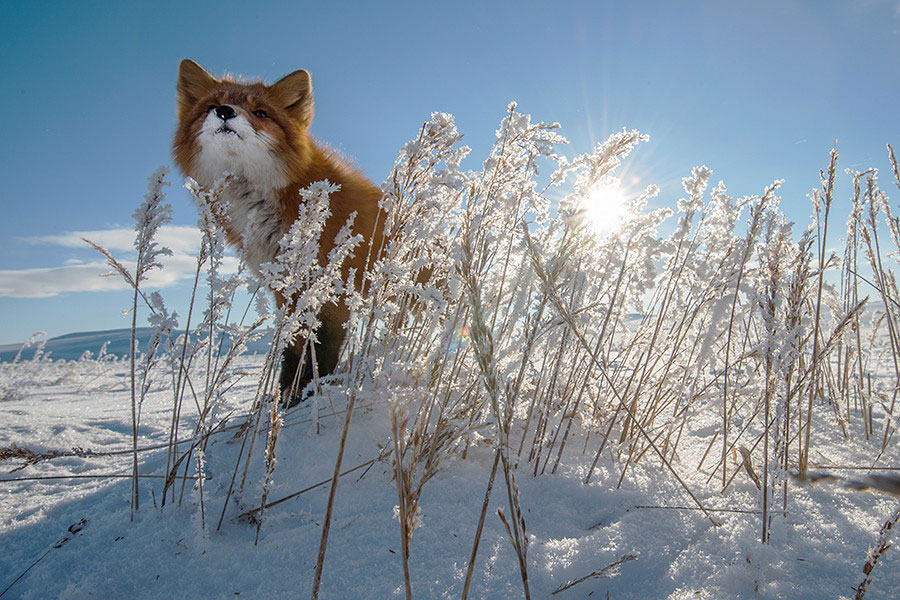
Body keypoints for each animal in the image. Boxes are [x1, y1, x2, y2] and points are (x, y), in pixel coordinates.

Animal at [173, 59, 385, 405]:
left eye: (260, 113)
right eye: (211, 106)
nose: (224, 112)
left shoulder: (334, 285)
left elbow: (322, 348)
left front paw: (312, 392)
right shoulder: (282, 282)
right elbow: (292, 345)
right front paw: (286, 395)